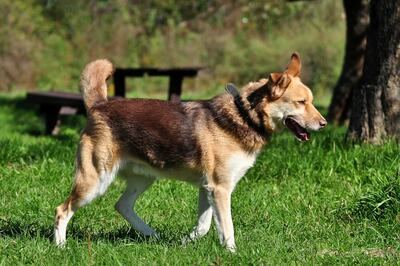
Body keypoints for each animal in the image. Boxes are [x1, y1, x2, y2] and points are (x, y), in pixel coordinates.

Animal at [54, 52, 324, 251]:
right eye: (301, 102)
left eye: (311, 101)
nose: (323, 124)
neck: (244, 116)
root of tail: (99, 105)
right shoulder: (220, 188)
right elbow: (227, 227)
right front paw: (232, 253)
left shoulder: (207, 189)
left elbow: (204, 226)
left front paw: (184, 242)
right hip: (95, 180)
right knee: (62, 210)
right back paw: (61, 246)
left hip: (143, 178)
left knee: (122, 206)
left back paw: (151, 234)